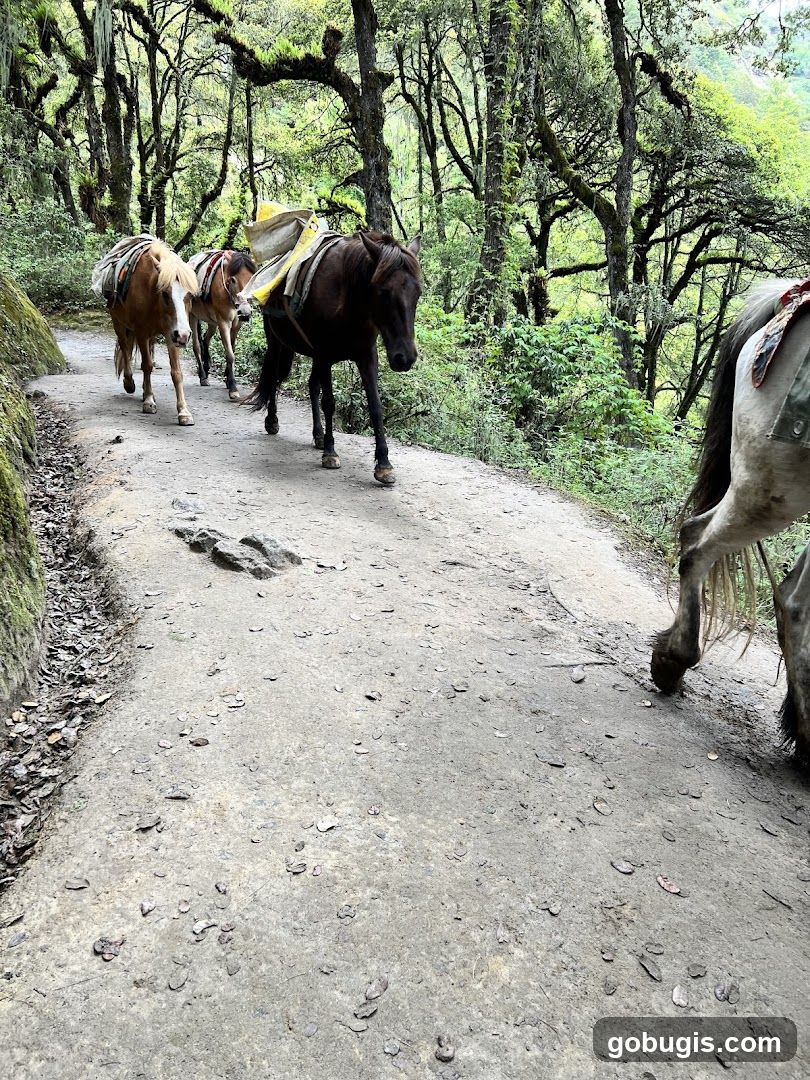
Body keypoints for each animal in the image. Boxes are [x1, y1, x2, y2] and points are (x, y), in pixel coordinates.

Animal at [95, 237, 200, 425]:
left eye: (190, 296)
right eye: (165, 293)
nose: (184, 335)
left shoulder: (171, 334)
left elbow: (176, 372)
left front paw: (183, 411)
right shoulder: (142, 332)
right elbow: (147, 365)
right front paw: (149, 401)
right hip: (119, 324)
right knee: (126, 349)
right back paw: (130, 383)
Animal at [189, 250, 257, 401]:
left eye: (252, 279)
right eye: (233, 280)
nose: (245, 312)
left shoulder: (236, 325)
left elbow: (232, 349)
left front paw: (227, 379)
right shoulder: (224, 322)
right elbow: (230, 354)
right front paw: (233, 388)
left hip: (212, 321)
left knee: (205, 339)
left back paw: (206, 368)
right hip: (192, 316)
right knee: (196, 346)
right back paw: (203, 376)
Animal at [246, 231, 422, 486]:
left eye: (417, 293)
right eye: (383, 292)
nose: (405, 358)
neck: (349, 298)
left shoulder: (366, 355)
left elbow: (375, 406)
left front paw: (384, 464)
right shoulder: (325, 354)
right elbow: (329, 403)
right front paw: (330, 452)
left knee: (311, 386)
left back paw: (318, 434)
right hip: (278, 343)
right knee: (274, 379)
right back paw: (273, 420)